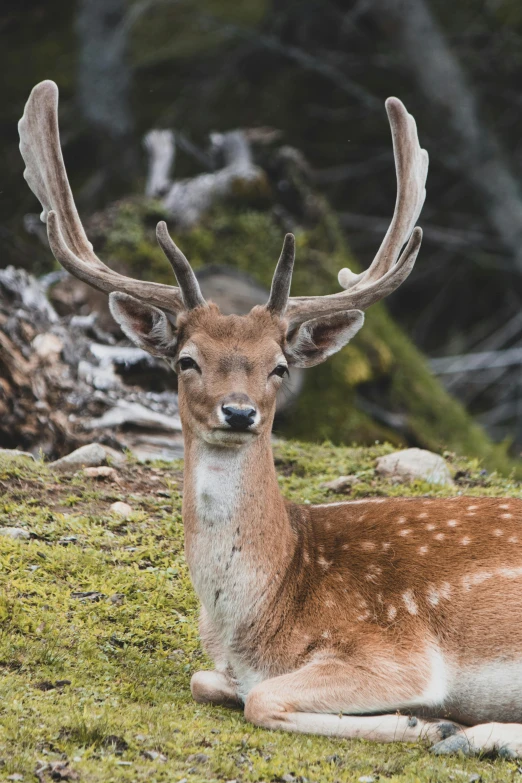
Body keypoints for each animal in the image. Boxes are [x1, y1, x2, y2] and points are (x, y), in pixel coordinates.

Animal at [18, 81, 520, 760]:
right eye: (186, 360)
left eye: (279, 366)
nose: (238, 410)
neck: (259, 616)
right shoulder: (226, 665)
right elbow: (209, 682)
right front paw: (434, 725)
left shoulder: (399, 651)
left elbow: (263, 699)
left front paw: (427, 722)